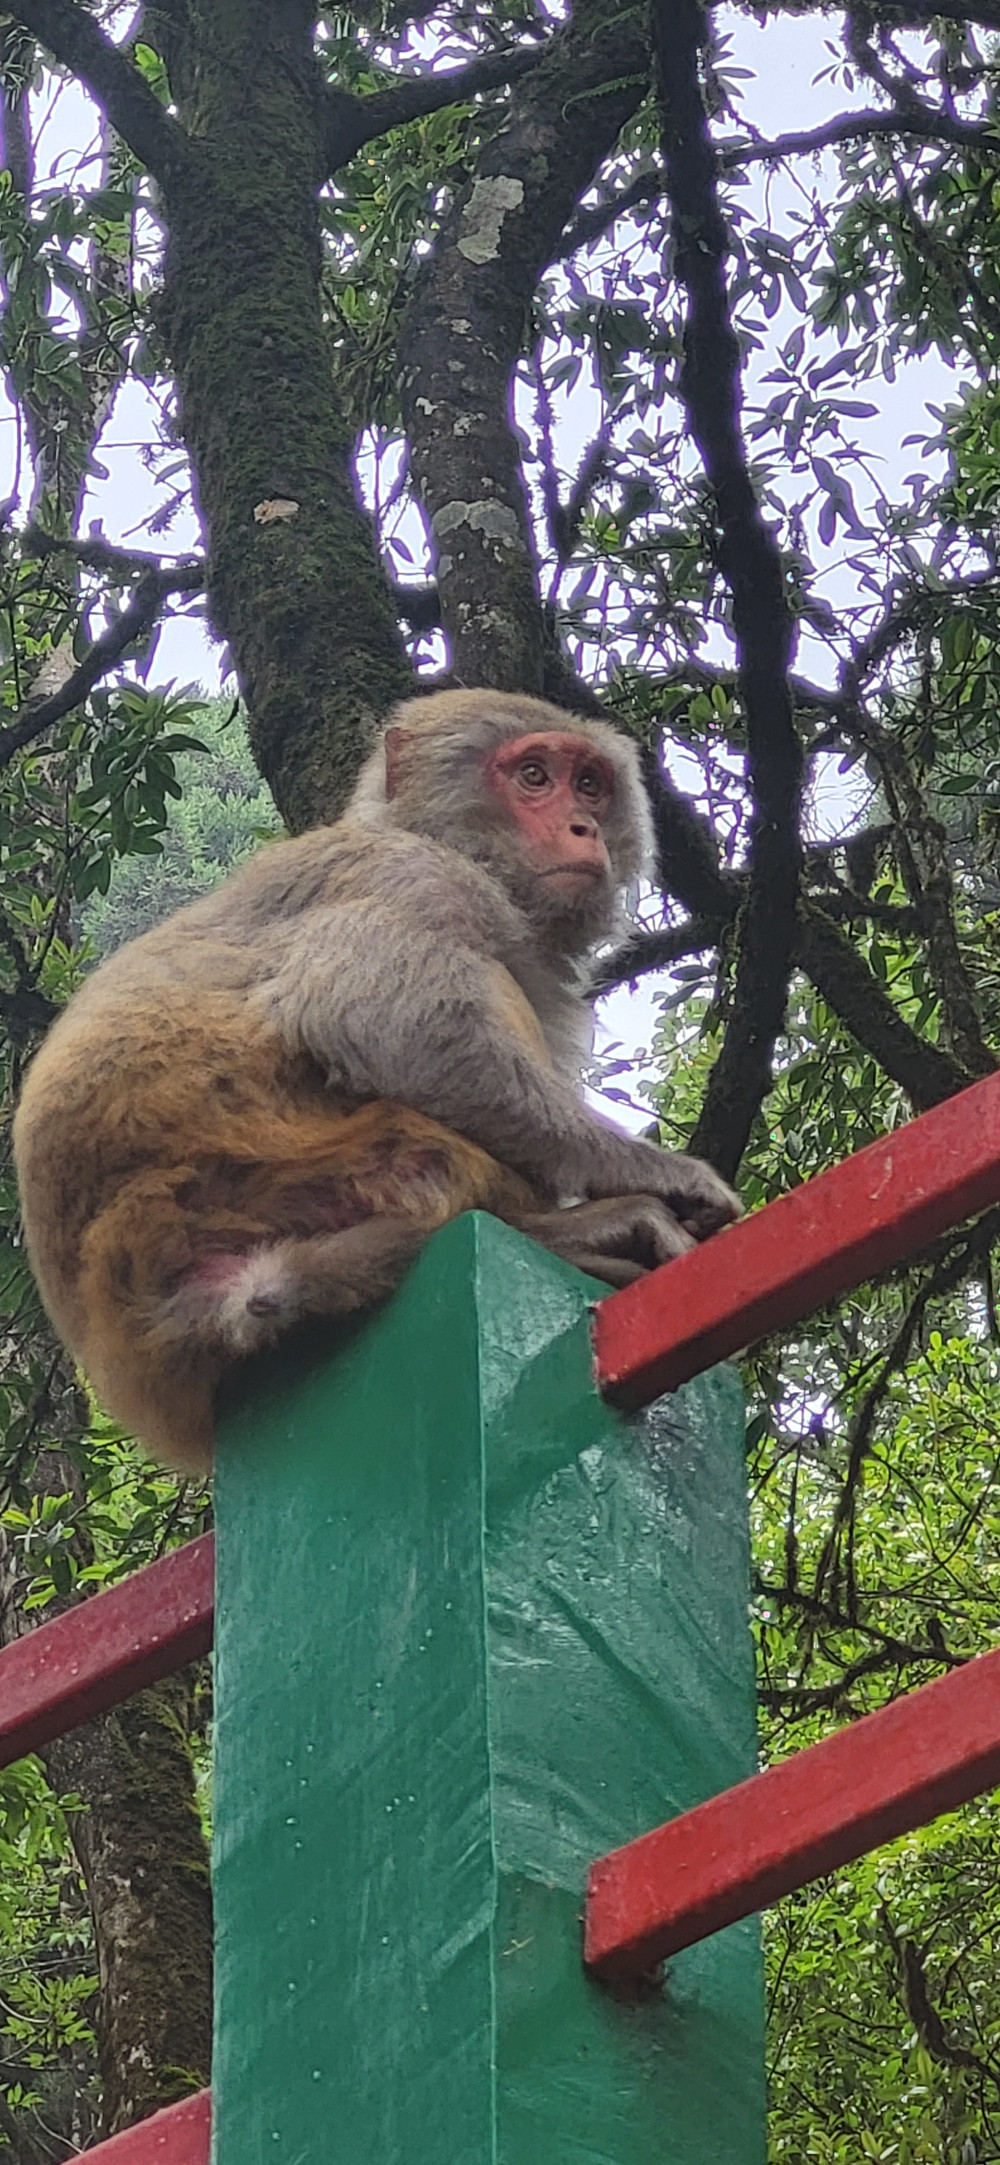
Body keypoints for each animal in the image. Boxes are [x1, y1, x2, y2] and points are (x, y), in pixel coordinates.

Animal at [11, 692, 740, 1472]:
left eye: (591, 785)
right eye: (534, 777)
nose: (582, 827)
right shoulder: (410, 874)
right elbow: (379, 1018)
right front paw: (651, 1171)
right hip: (305, 1170)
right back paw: (561, 1230)